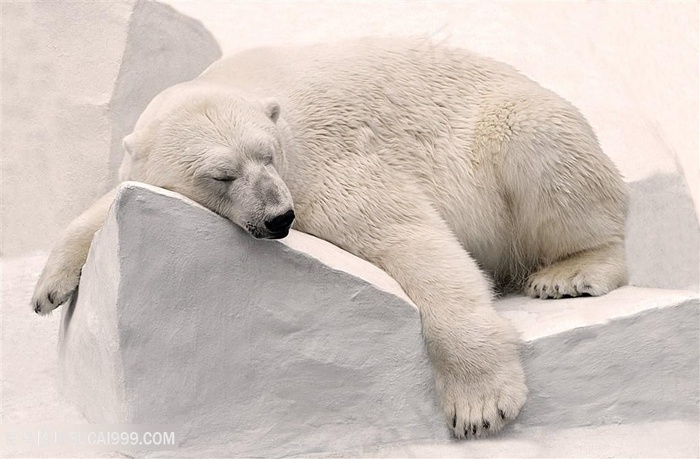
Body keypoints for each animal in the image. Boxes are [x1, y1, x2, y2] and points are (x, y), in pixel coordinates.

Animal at [31, 39, 628, 442]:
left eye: (266, 154)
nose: (279, 218)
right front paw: (47, 289)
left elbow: (412, 238)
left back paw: (572, 272)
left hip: (513, 126)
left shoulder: (324, 164)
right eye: (222, 175)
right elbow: (107, 201)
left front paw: (480, 403)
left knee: (545, 154)